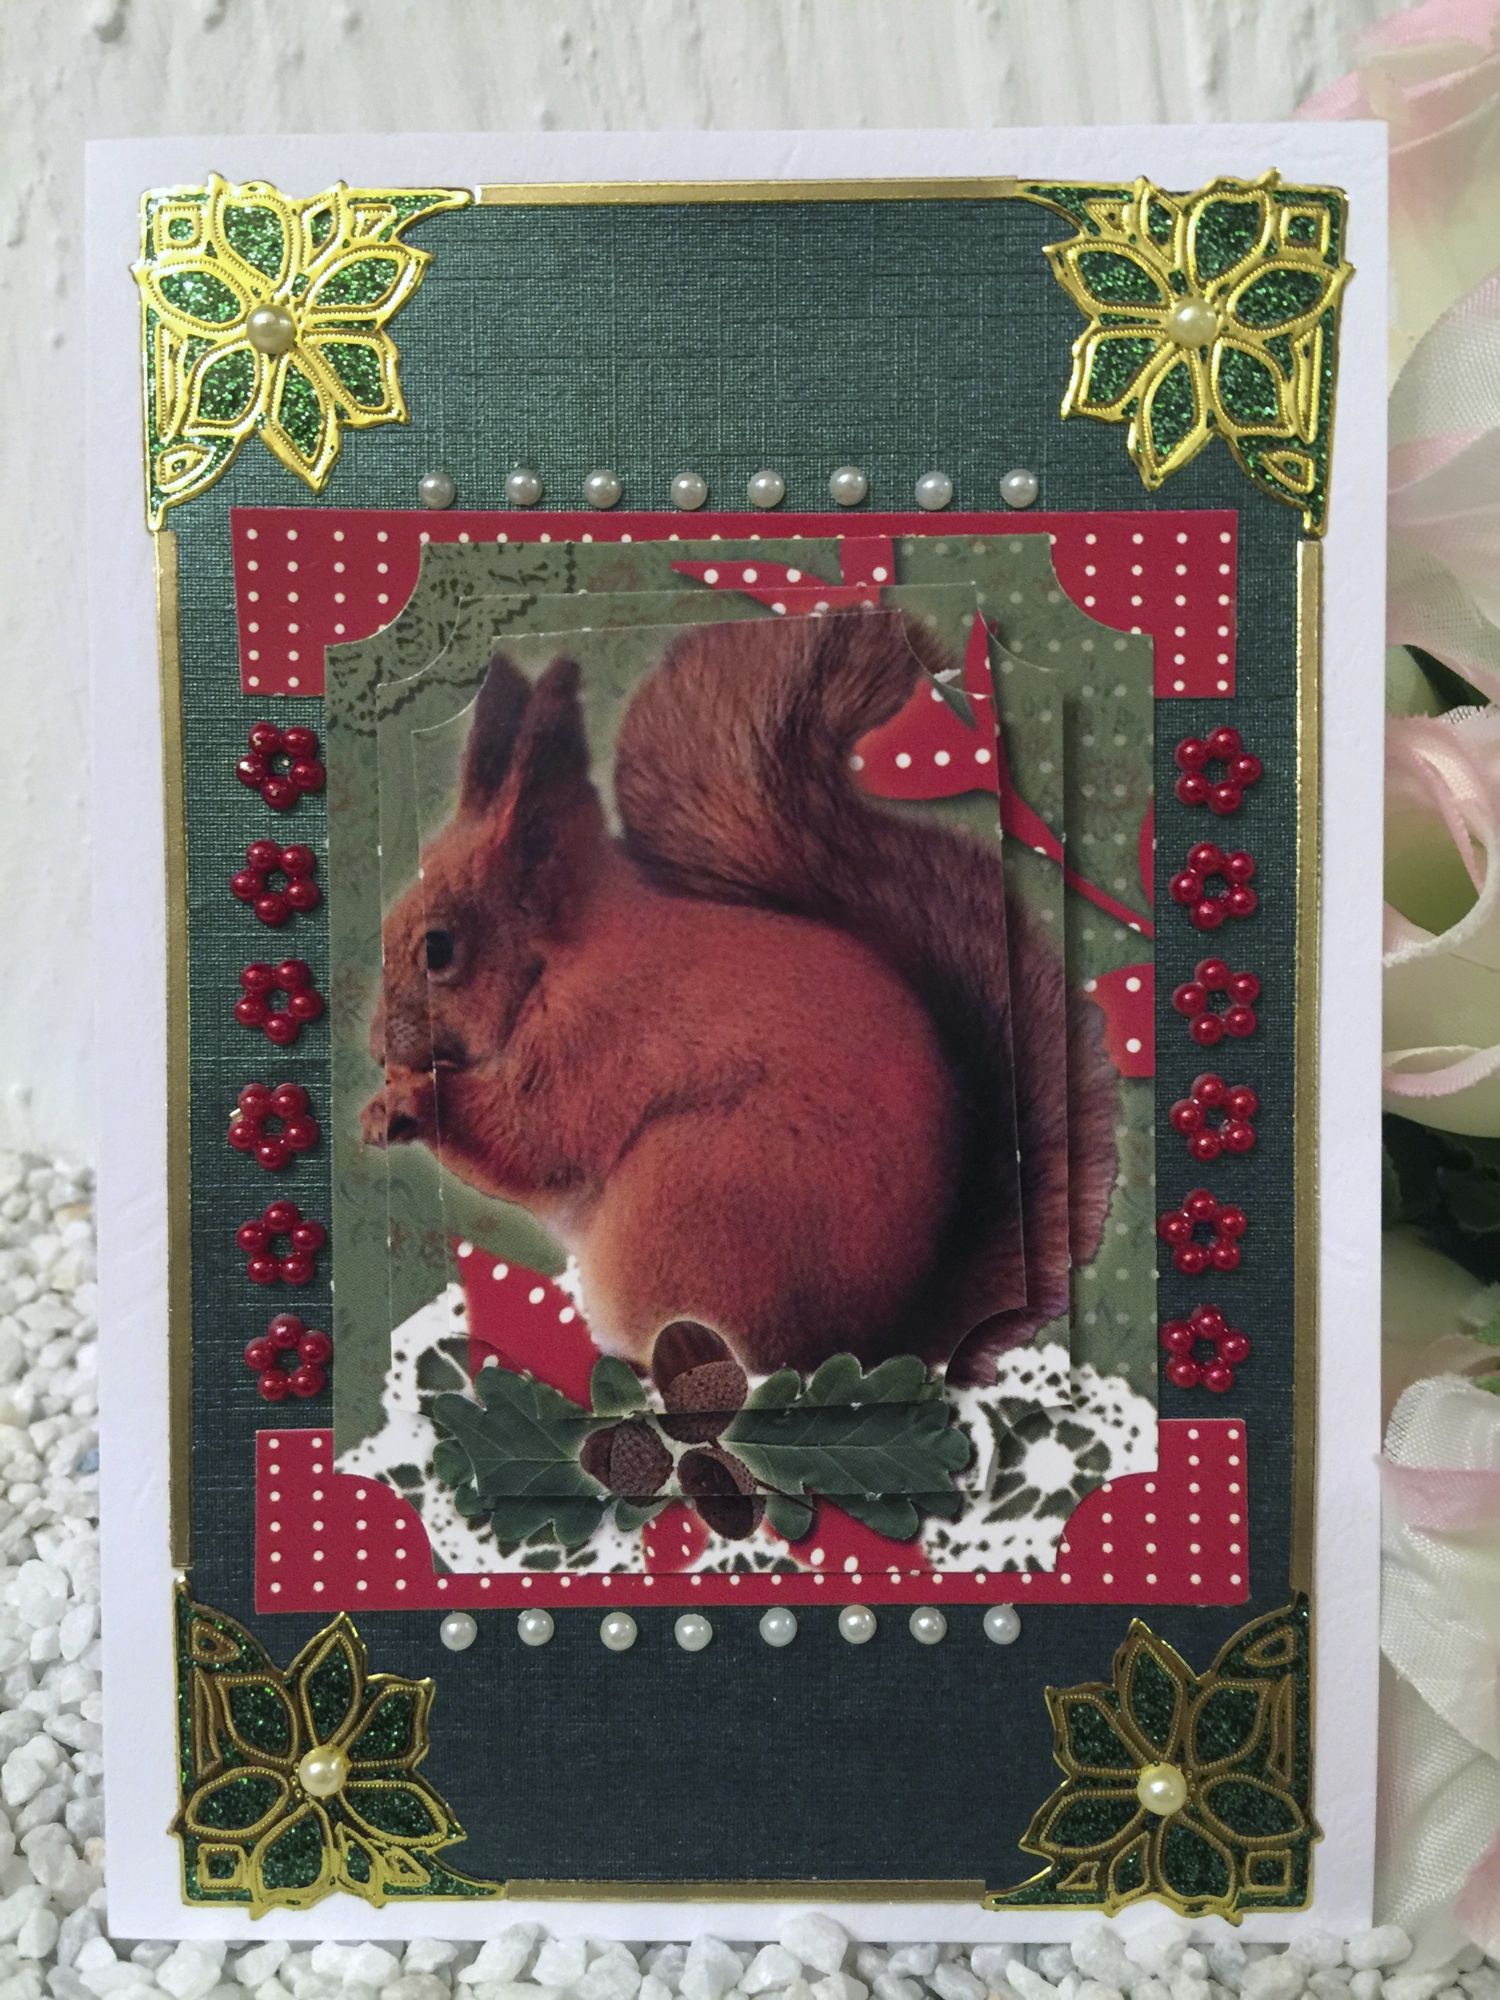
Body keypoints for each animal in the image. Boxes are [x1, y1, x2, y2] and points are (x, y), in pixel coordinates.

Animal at [363, 610, 1119, 1379]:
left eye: (439, 949)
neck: (561, 959)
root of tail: (864, 1348)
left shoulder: (592, 1042)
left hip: (685, 1206)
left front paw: (409, 1099)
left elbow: (532, 1139)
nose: (375, 1049)